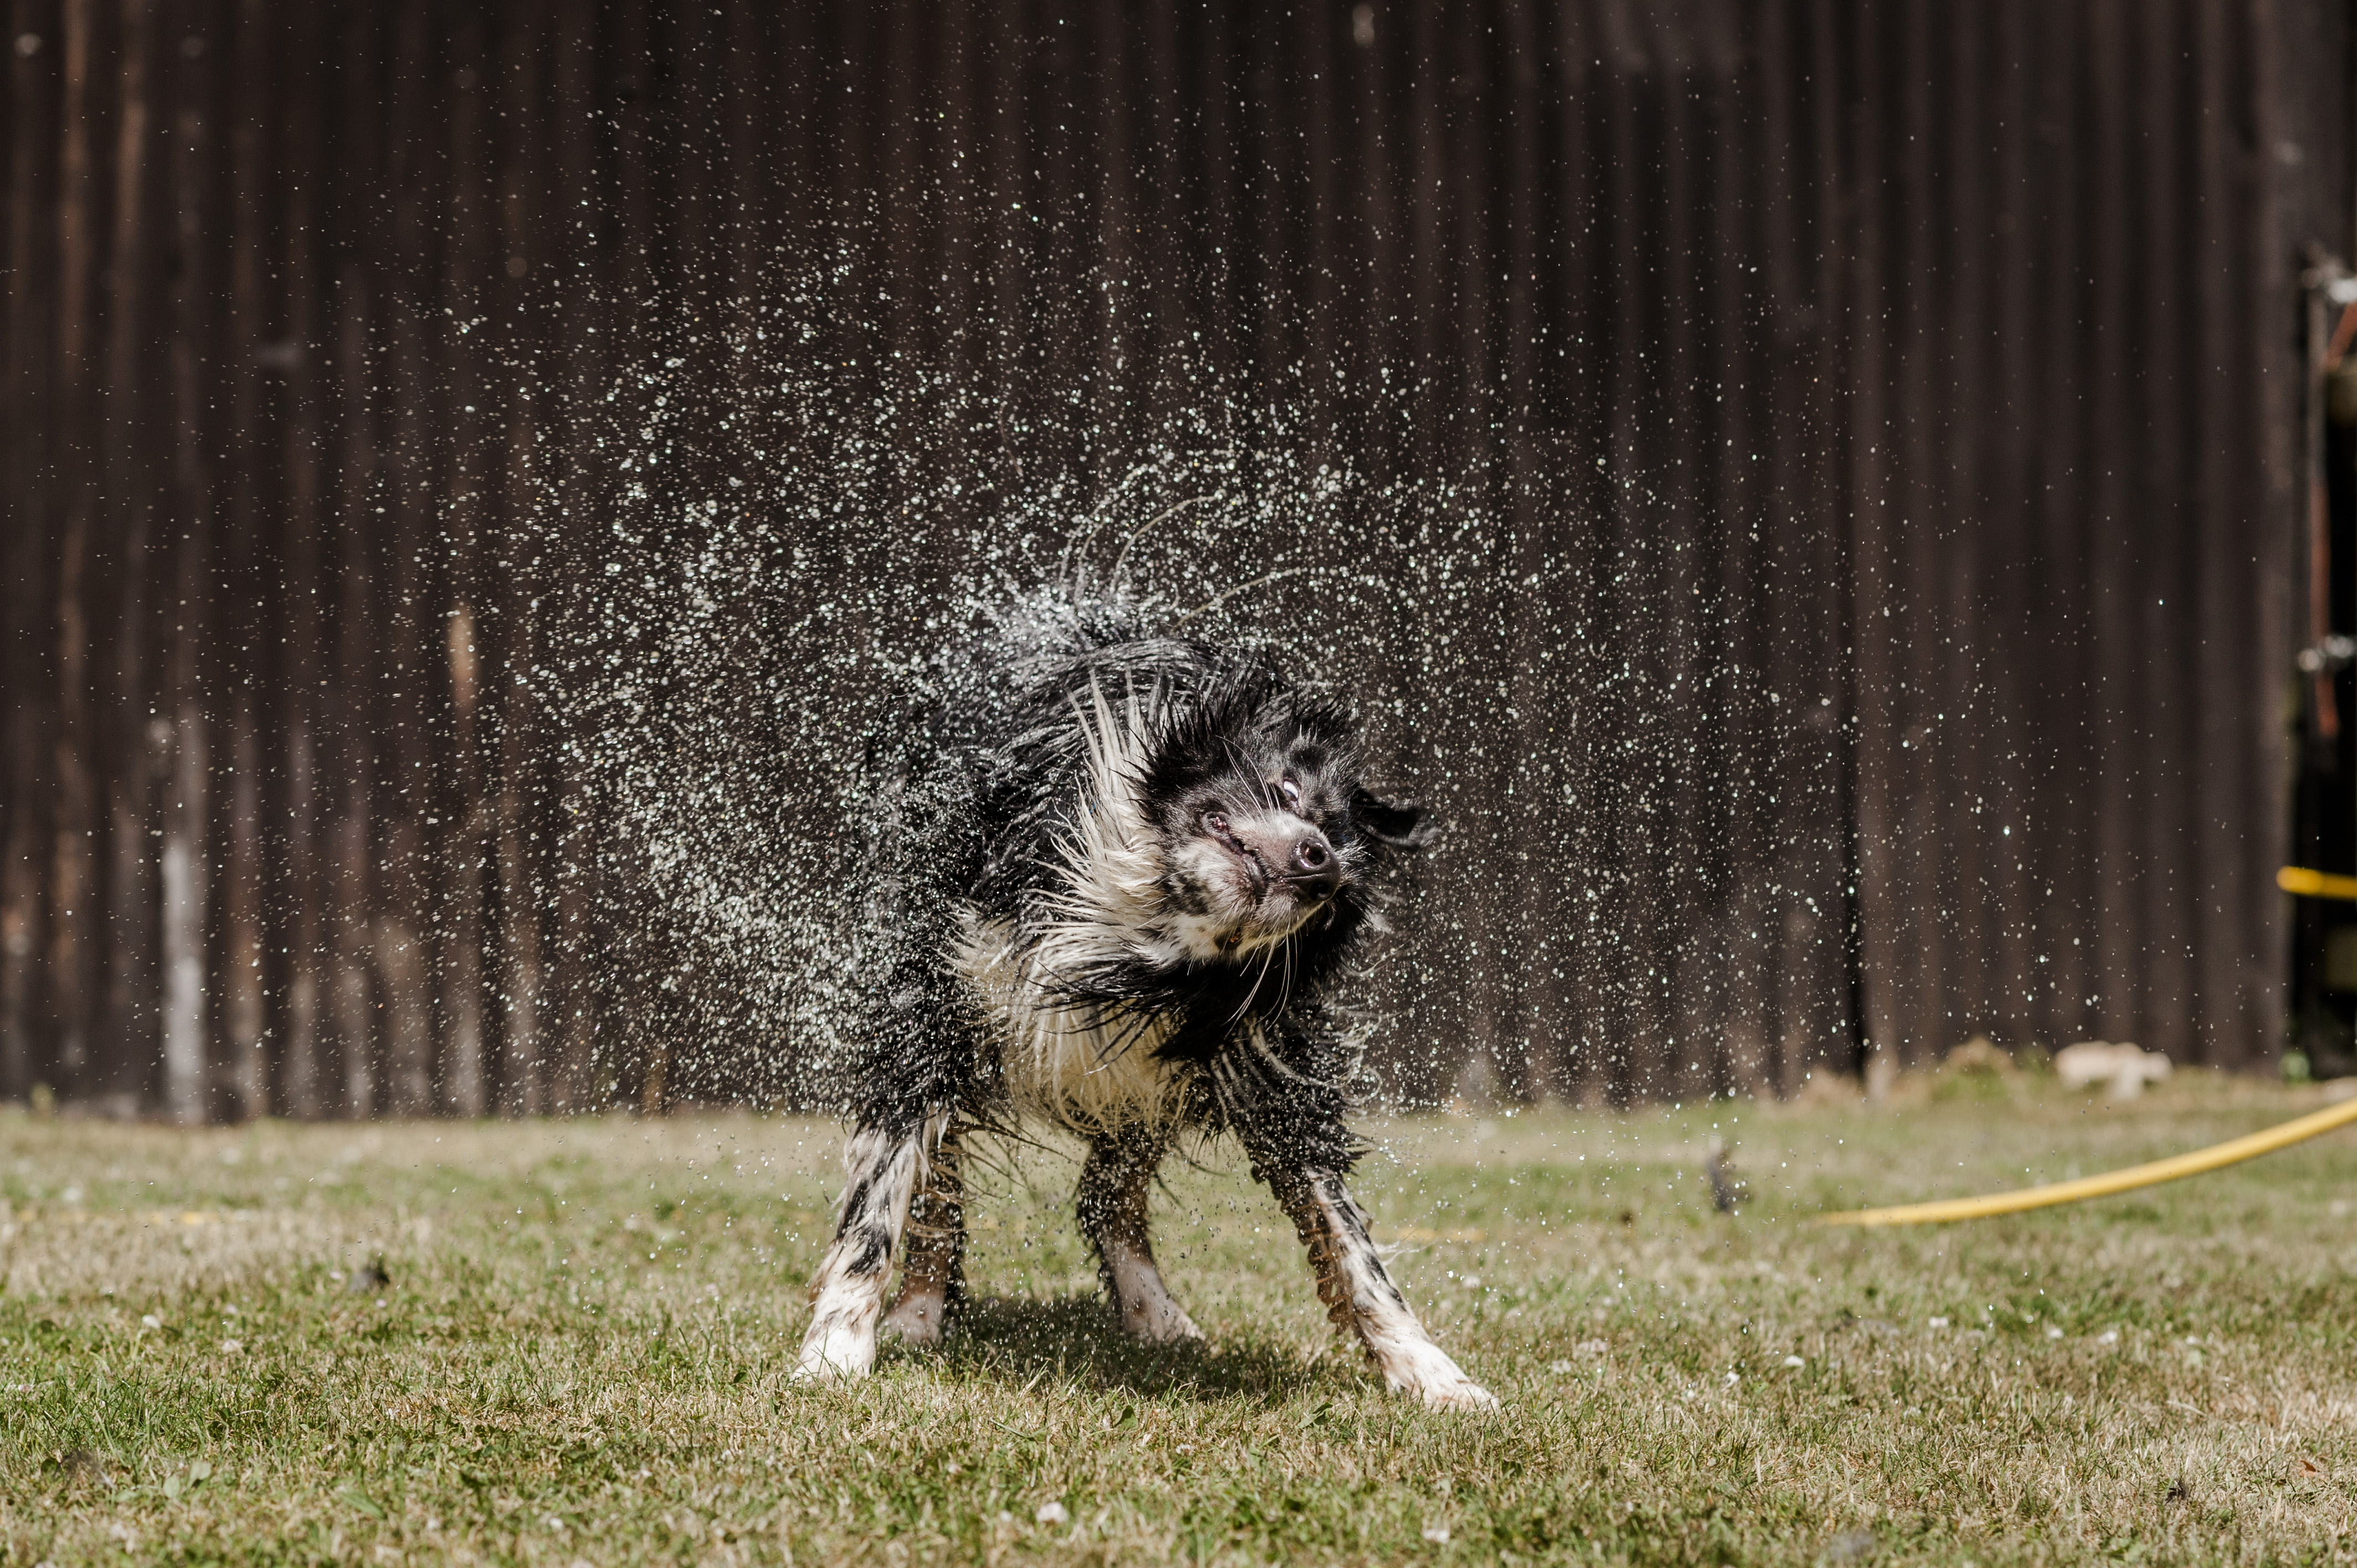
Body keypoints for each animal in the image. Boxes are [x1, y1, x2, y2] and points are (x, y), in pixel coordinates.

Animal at [792, 587, 1489, 1405]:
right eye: (1289, 791)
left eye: (1333, 897)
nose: (1317, 863)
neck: (1129, 922)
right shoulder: (929, 1008)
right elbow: (878, 1209)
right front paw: (835, 1351)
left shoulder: (1253, 1062)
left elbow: (1351, 1243)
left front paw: (1434, 1374)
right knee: (946, 1193)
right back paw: (918, 1312)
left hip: (1141, 1083)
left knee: (1105, 1195)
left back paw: (1154, 1312)